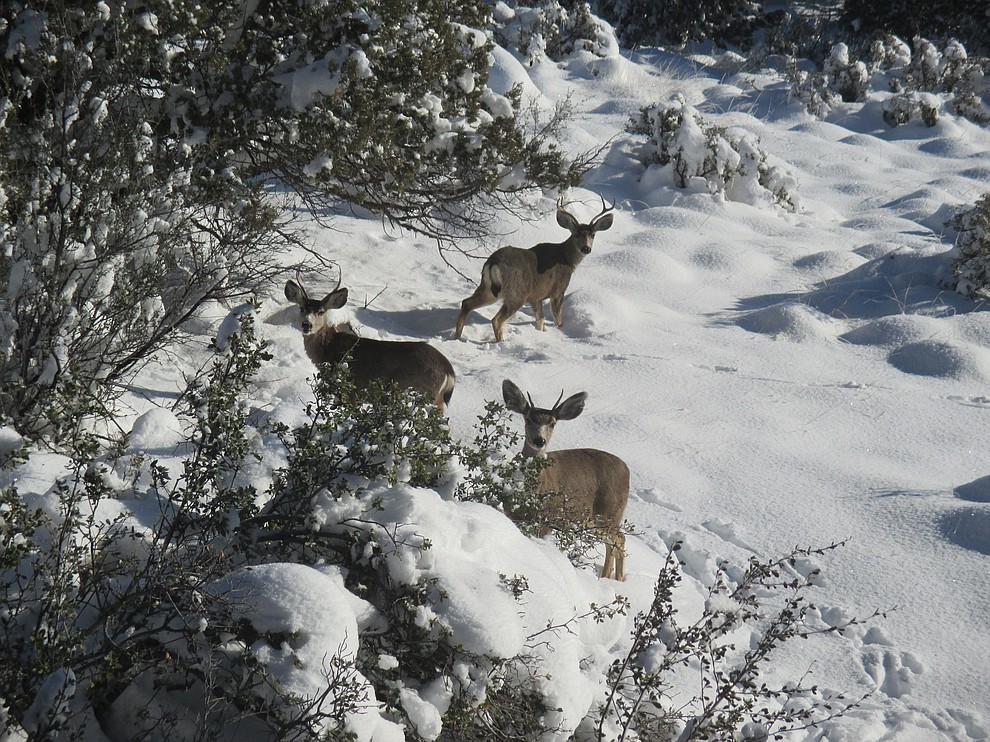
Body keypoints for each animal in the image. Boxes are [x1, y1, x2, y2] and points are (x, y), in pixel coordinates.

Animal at [286, 272, 458, 416]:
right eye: (301, 308)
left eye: (321, 312)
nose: (306, 325)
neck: (329, 348)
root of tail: (448, 371)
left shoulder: (351, 389)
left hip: (421, 391)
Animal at [456, 193, 612, 342]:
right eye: (576, 234)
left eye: (593, 235)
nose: (586, 248)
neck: (566, 259)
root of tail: (493, 262)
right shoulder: (558, 290)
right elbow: (557, 320)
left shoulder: (537, 297)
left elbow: (540, 321)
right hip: (517, 292)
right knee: (496, 320)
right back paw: (501, 342)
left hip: (488, 288)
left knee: (466, 303)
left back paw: (456, 337)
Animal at [504, 380, 628, 584]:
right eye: (528, 419)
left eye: (553, 423)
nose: (539, 440)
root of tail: (627, 470)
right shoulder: (513, 515)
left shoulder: (546, 520)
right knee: (614, 542)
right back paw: (609, 578)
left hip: (609, 513)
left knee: (619, 539)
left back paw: (613, 579)